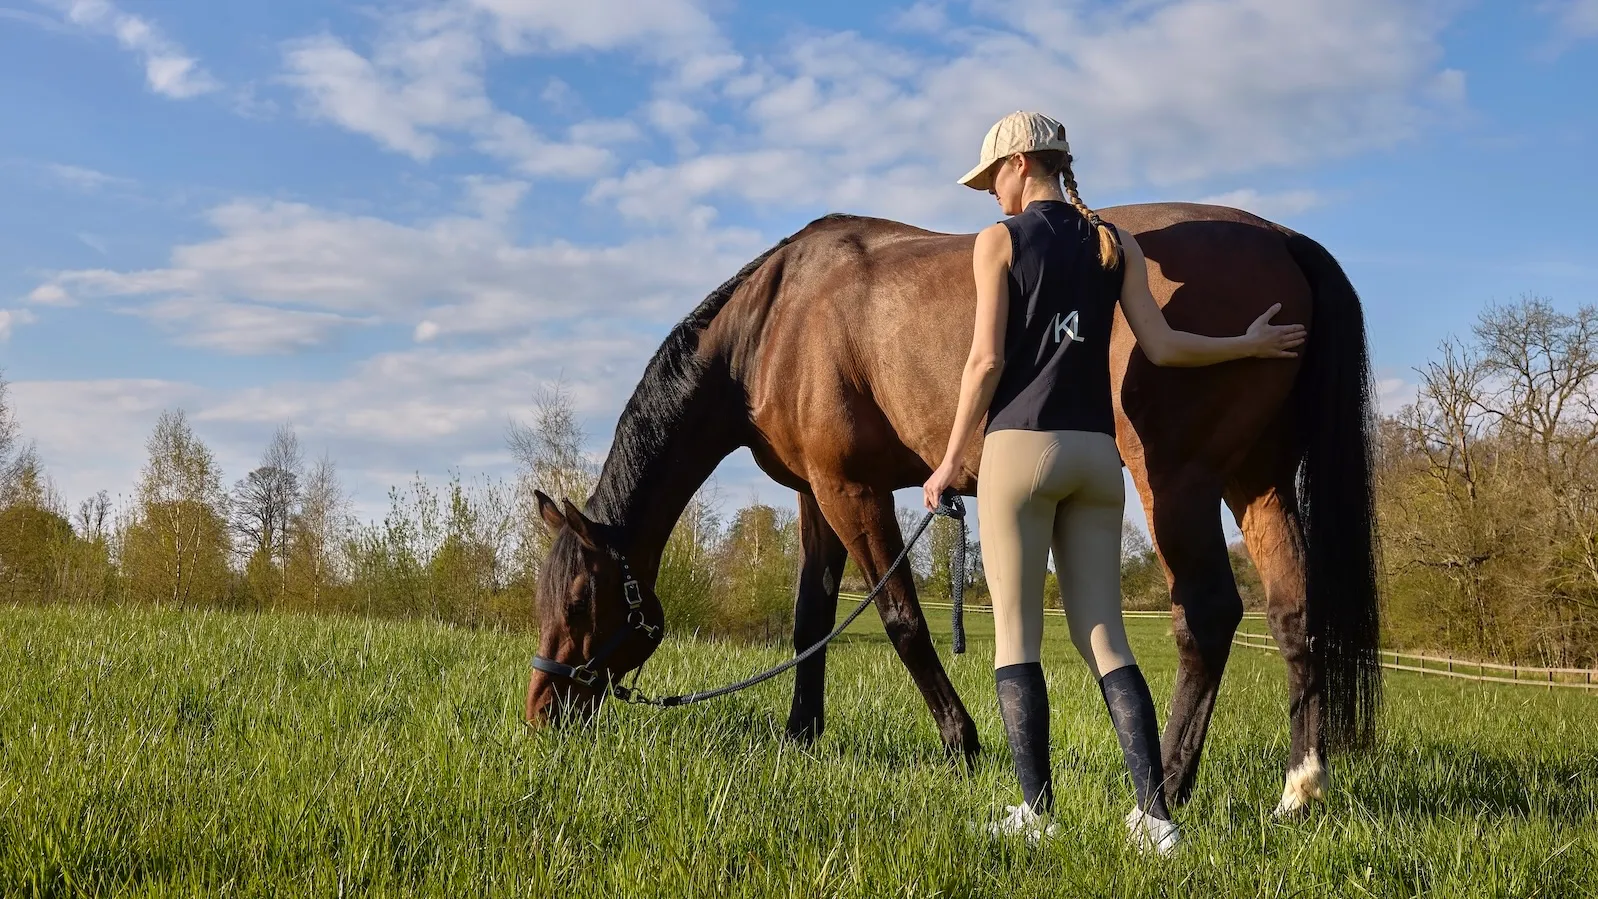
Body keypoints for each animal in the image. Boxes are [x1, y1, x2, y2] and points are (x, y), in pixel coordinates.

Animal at [524, 202, 1381, 814]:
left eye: (583, 598)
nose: (540, 710)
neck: (775, 317)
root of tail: (1284, 241)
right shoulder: (813, 494)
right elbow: (809, 621)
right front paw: (801, 735)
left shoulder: (854, 490)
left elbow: (902, 619)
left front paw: (962, 743)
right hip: (1257, 483)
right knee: (1293, 611)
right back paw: (1298, 788)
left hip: (1178, 481)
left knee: (1206, 613)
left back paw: (1166, 786)